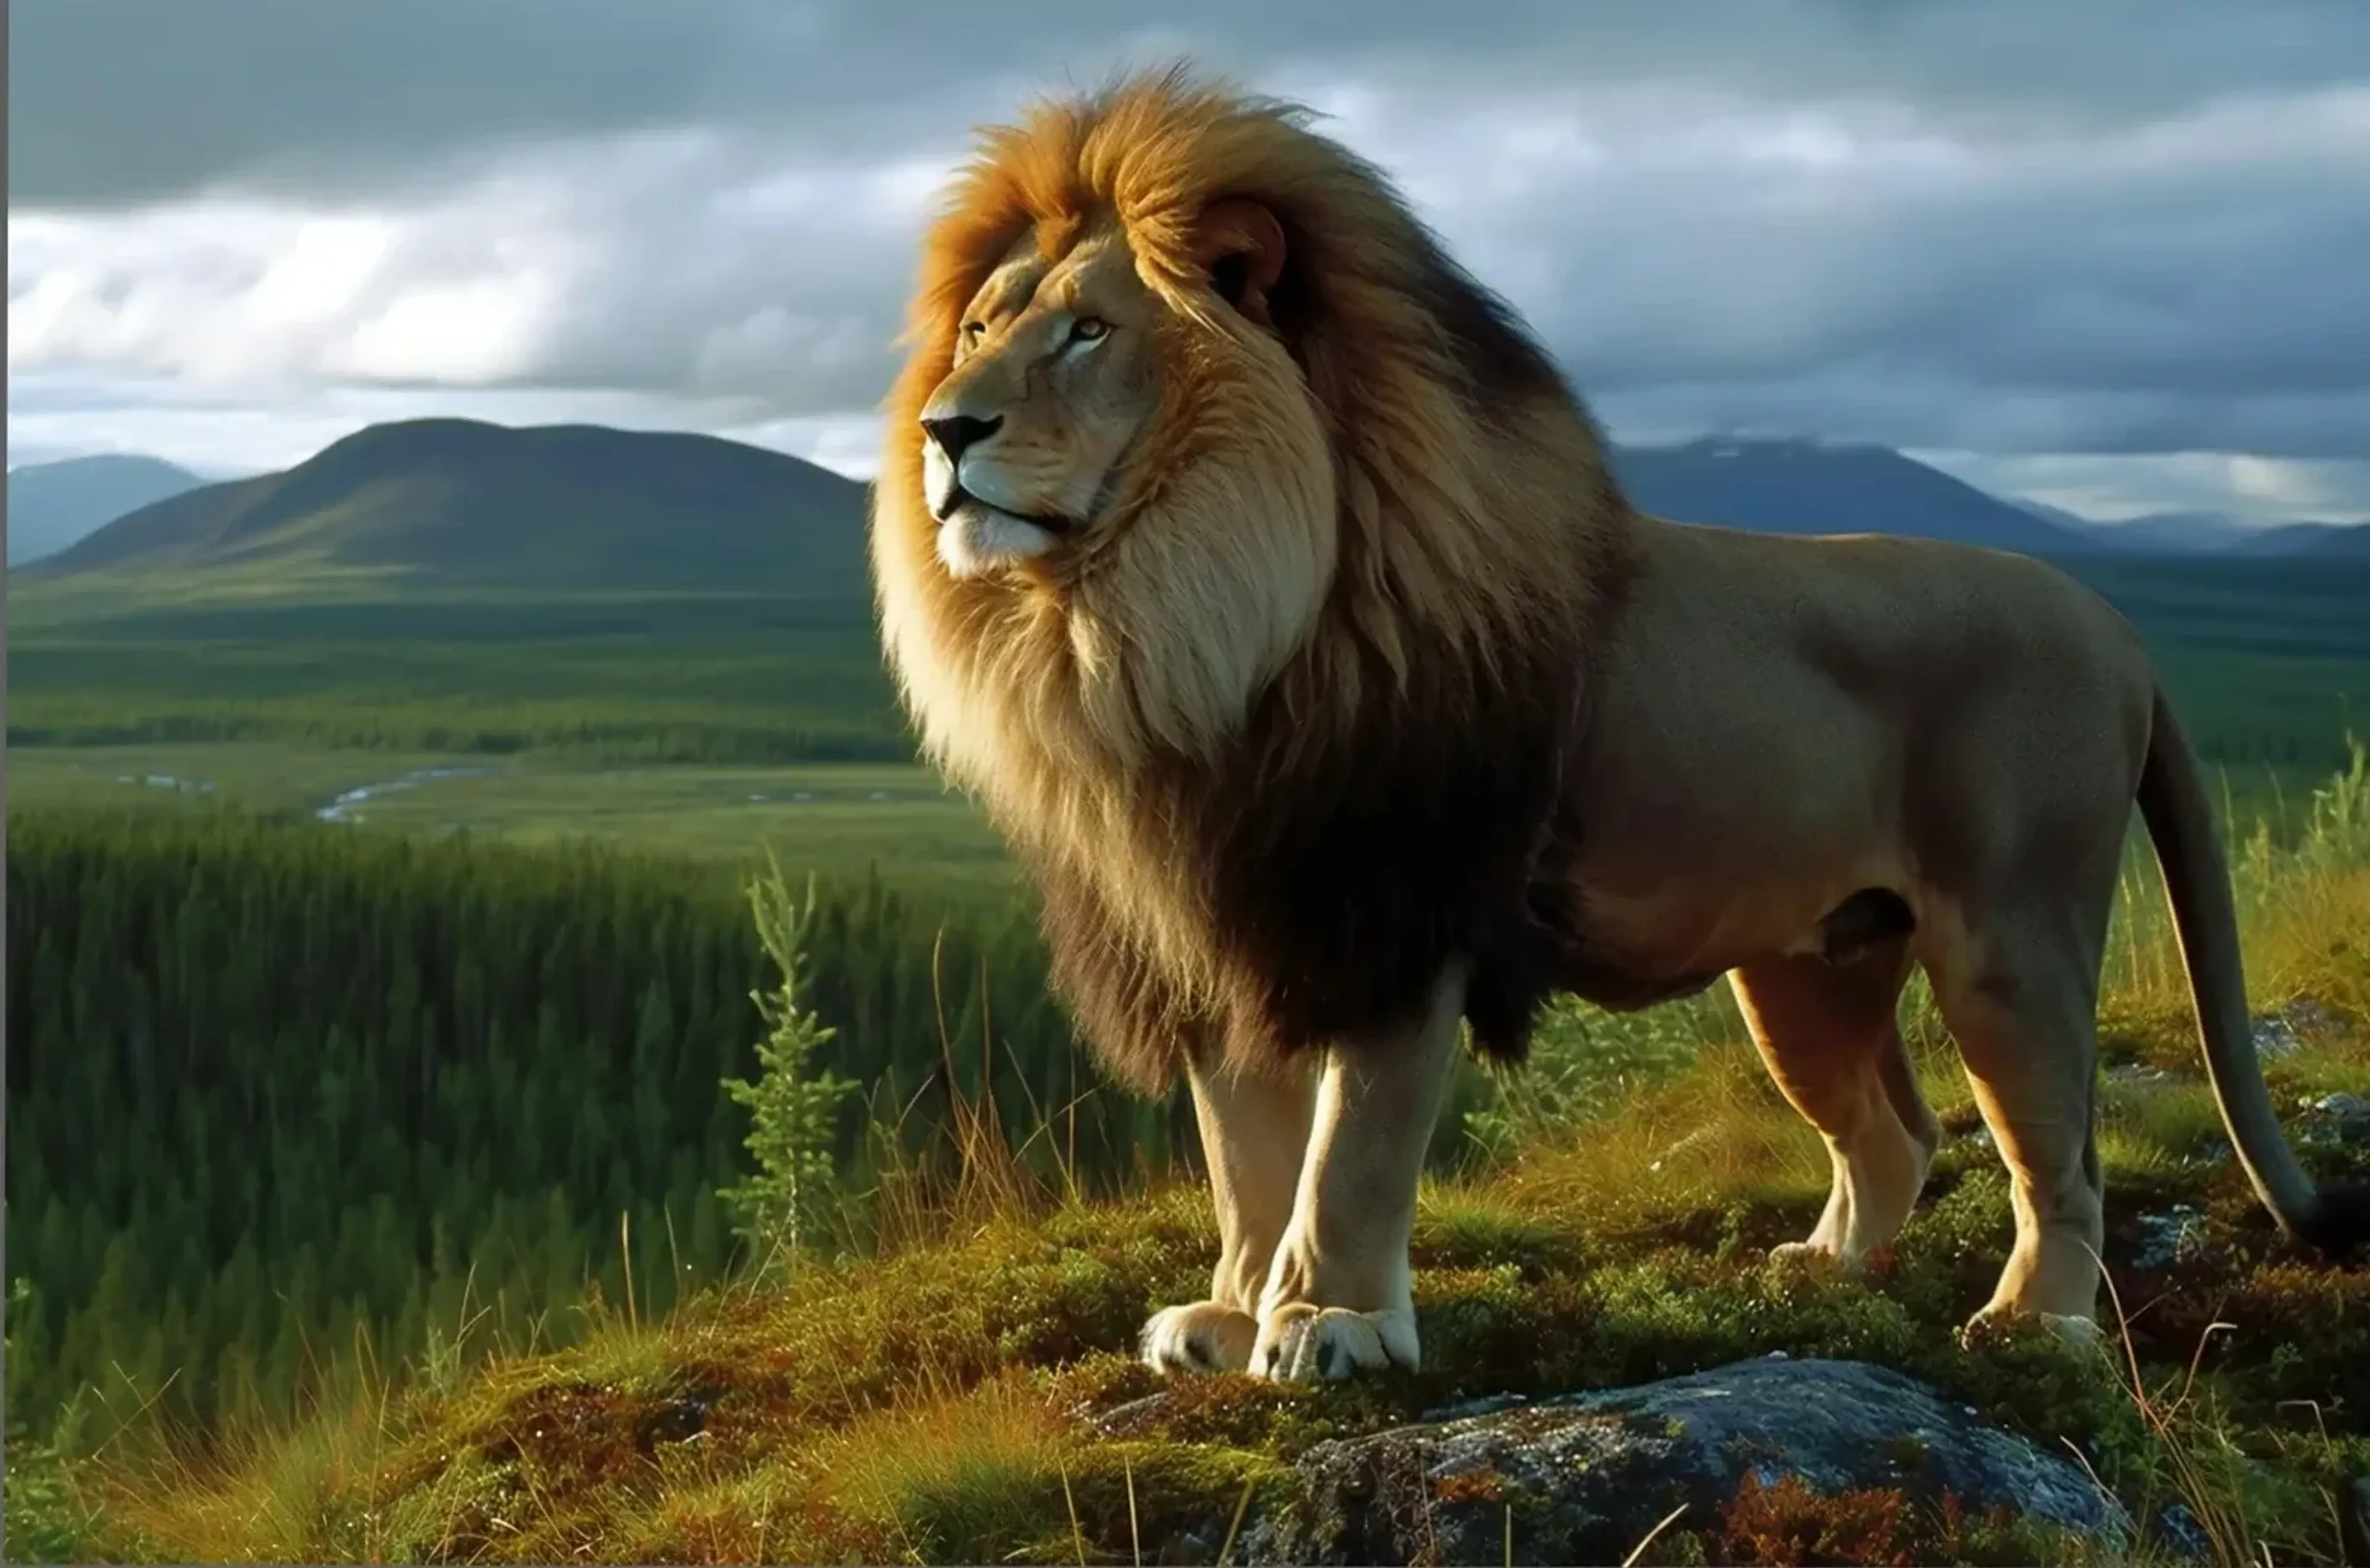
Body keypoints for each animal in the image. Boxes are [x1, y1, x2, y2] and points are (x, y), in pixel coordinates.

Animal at [869, 64, 2367, 1381]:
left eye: (1088, 331)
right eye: (979, 329)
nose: (946, 429)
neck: (1162, 626)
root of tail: (2117, 624)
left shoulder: (1398, 914)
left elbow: (1346, 1157)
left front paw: (1330, 1325)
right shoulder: (1232, 930)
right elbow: (1247, 1164)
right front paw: (1232, 1317)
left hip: (2013, 936)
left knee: (2062, 1154)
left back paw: (2033, 1324)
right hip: (1810, 967)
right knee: (1897, 1135)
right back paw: (1823, 1274)